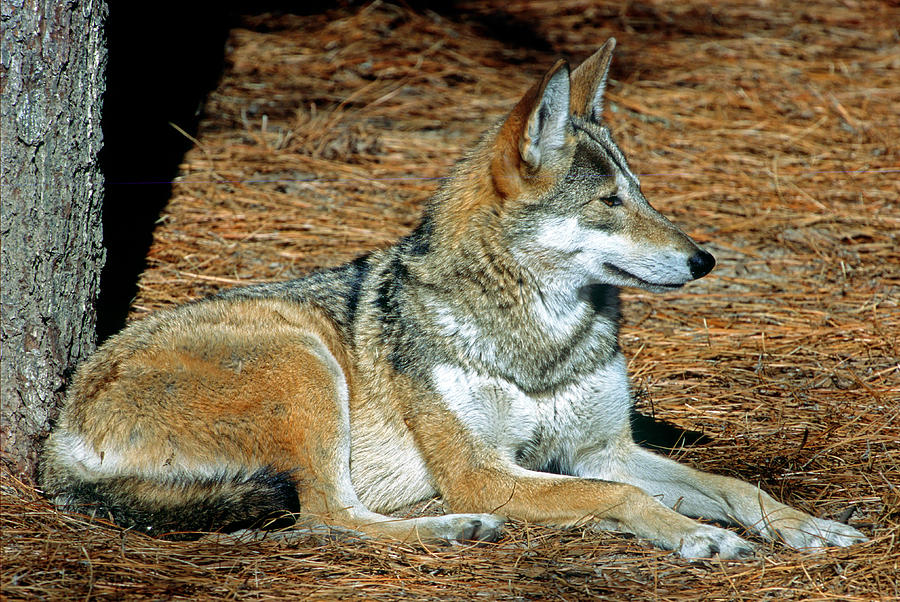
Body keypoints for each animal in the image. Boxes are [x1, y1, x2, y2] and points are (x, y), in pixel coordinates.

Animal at [40, 39, 864, 556]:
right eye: (608, 203)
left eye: (643, 193)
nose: (704, 260)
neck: (543, 341)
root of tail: (55, 439)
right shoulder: (486, 471)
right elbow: (623, 500)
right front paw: (697, 535)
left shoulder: (601, 449)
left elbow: (733, 483)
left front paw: (804, 526)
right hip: (303, 361)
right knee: (326, 517)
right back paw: (453, 528)